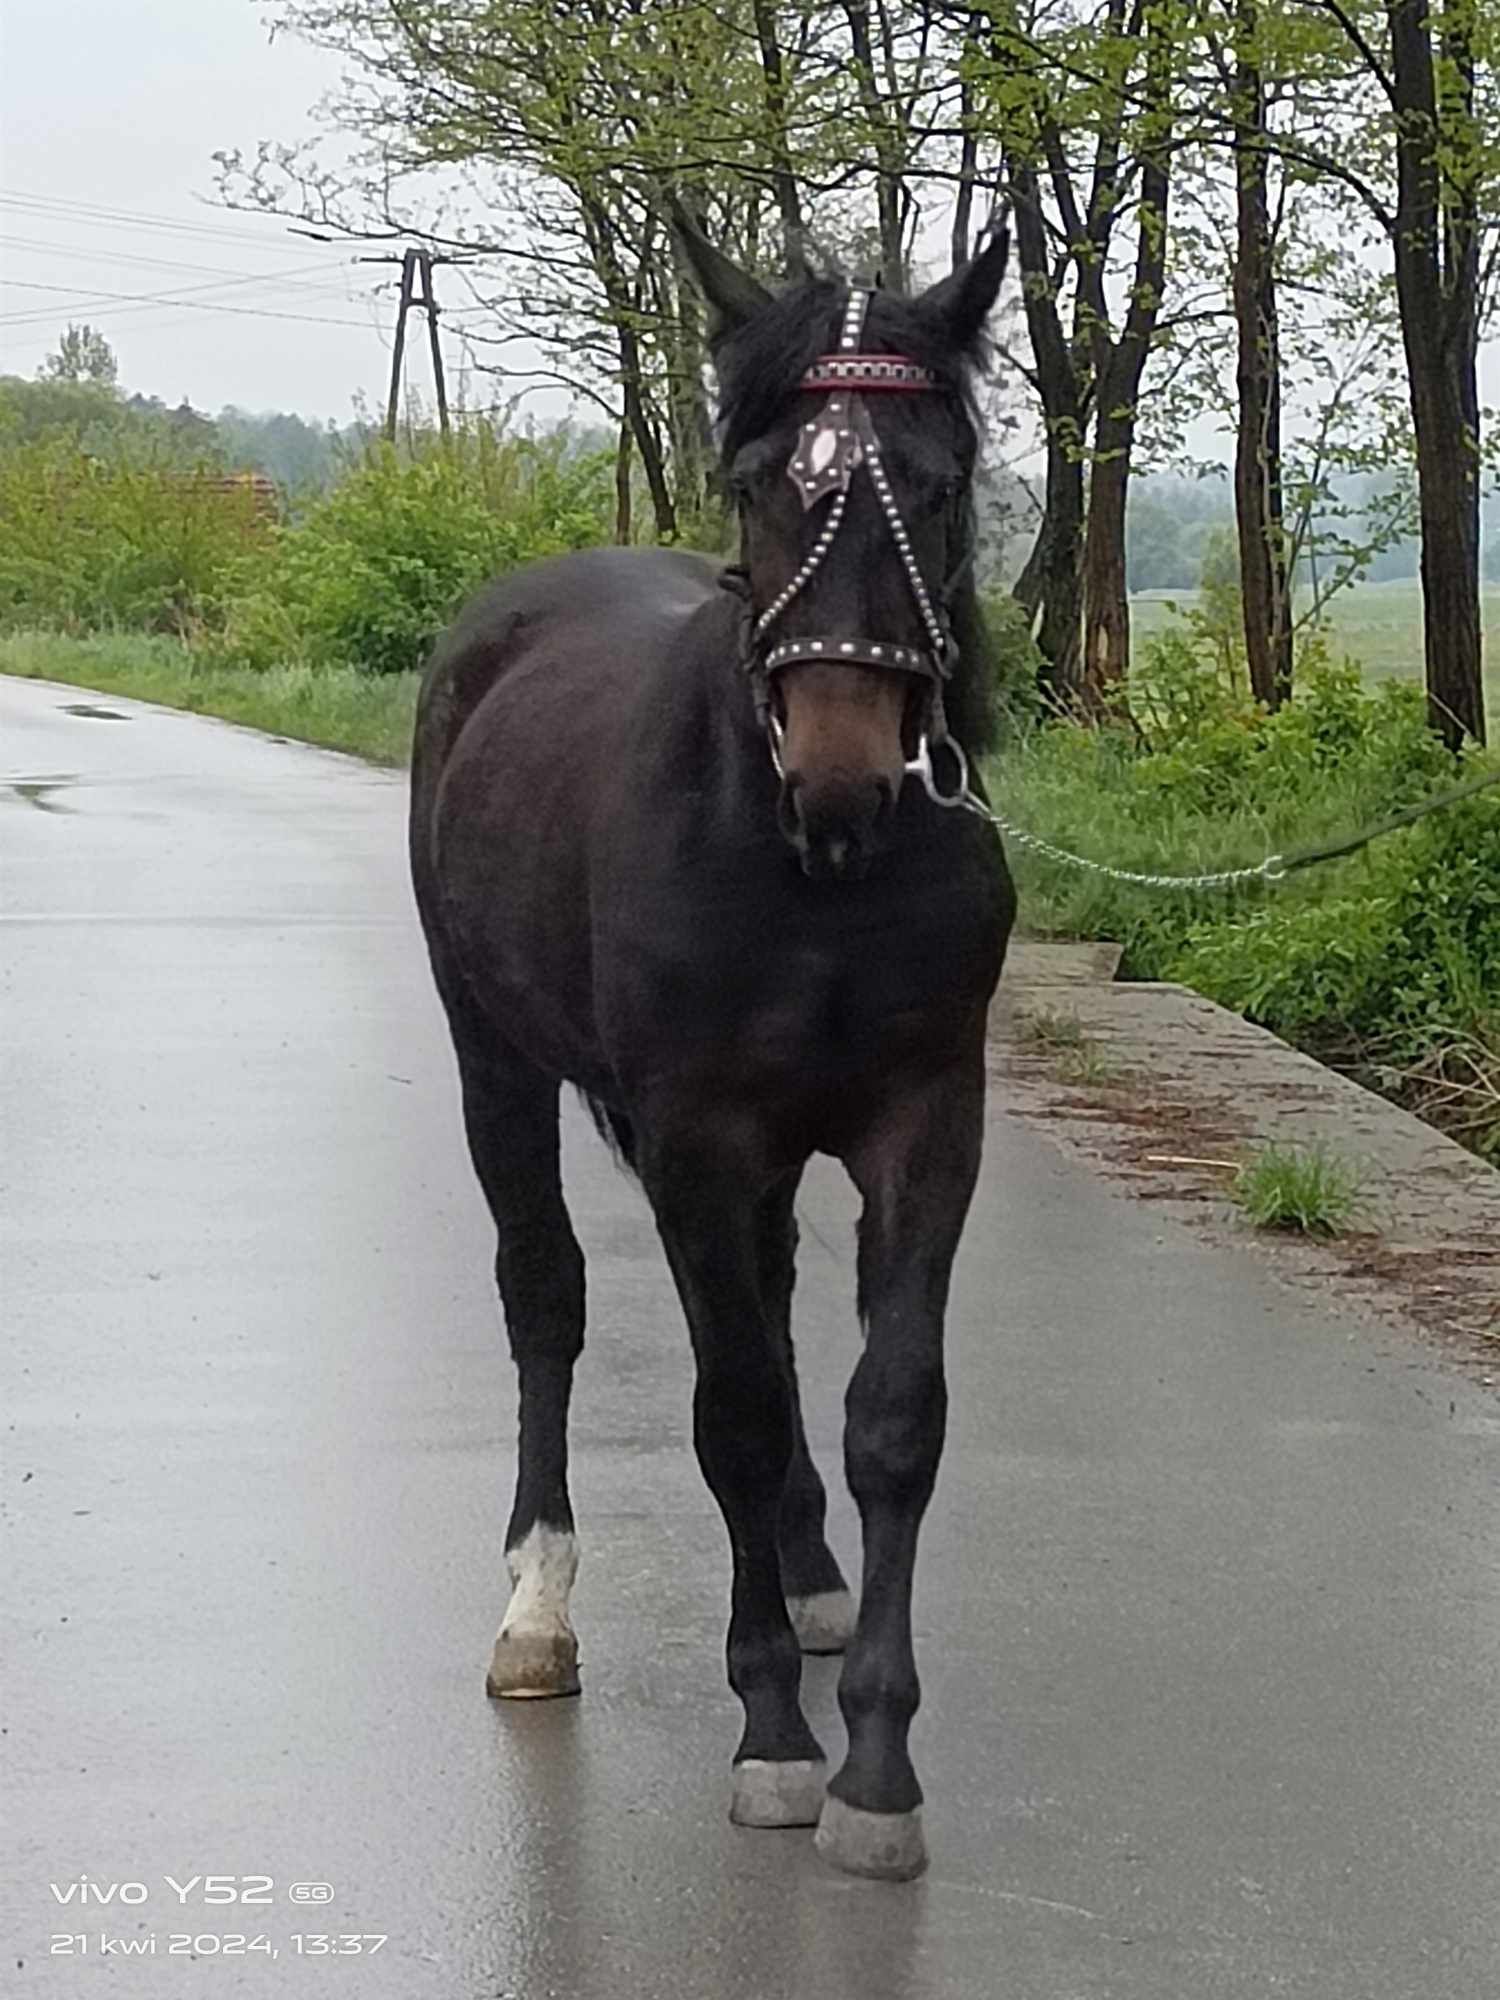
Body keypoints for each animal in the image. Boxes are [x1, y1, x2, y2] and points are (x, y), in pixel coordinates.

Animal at [412, 219, 1016, 1872]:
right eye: (761, 480)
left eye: (942, 479)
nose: (845, 770)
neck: (817, 875)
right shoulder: (695, 1134)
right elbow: (730, 1412)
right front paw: (778, 1742)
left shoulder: (926, 1122)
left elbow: (893, 1415)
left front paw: (878, 1764)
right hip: (496, 1064)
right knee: (547, 1300)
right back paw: (538, 1611)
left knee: (776, 1308)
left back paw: (804, 1576)